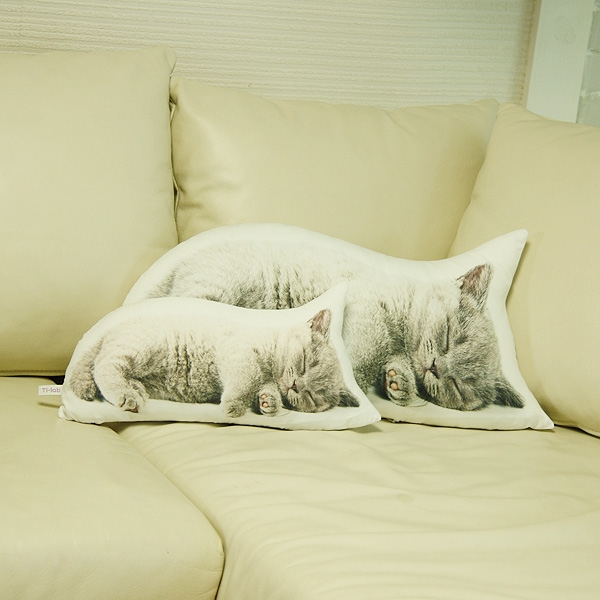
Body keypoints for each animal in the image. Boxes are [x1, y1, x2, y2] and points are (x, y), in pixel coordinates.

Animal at [65, 303, 362, 417]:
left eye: (312, 396)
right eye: (303, 363)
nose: (297, 386)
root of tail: (106, 331)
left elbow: (264, 389)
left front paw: (268, 403)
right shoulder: (240, 353)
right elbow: (247, 379)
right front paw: (234, 406)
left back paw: (136, 389)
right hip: (141, 347)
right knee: (104, 364)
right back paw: (127, 395)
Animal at [134, 230, 525, 411]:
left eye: (457, 386)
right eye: (448, 338)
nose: (435, 367)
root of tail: (179, 263)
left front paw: (399, 384)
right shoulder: (366, 315)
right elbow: (360, 361)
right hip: (217, 287)